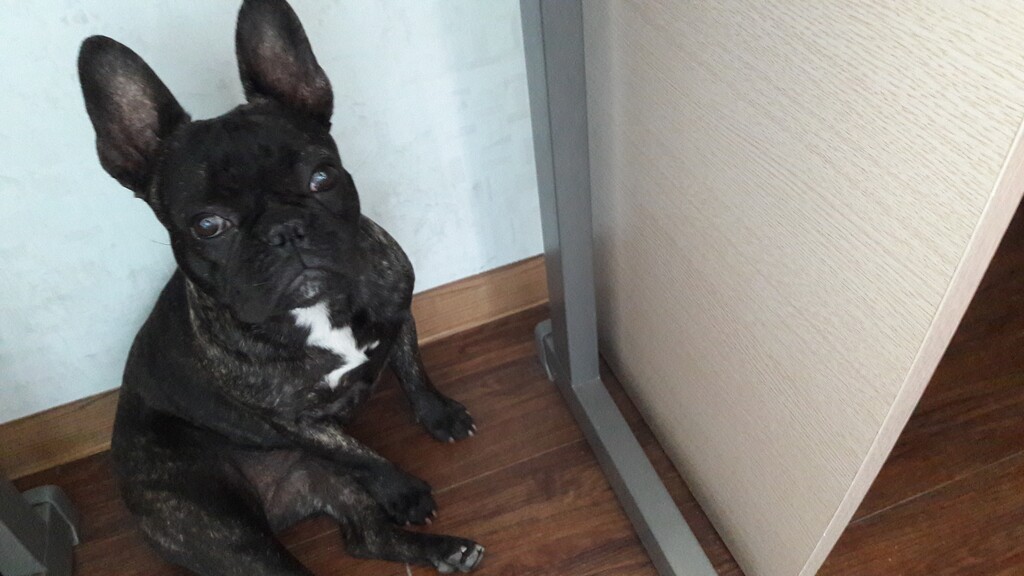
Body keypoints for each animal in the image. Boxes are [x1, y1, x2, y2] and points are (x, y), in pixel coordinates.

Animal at [76, 0, 485, 573]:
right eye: (208, 225)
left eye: (323, 177)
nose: (285, 229)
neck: (317, 312)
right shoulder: (292, 420)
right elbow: (358, 453)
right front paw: (402, 490)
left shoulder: (398, 307)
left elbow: (412, 368)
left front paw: (439, 415)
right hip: (227, 534)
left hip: (320, 479)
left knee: (365, 537)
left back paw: (448, 550)